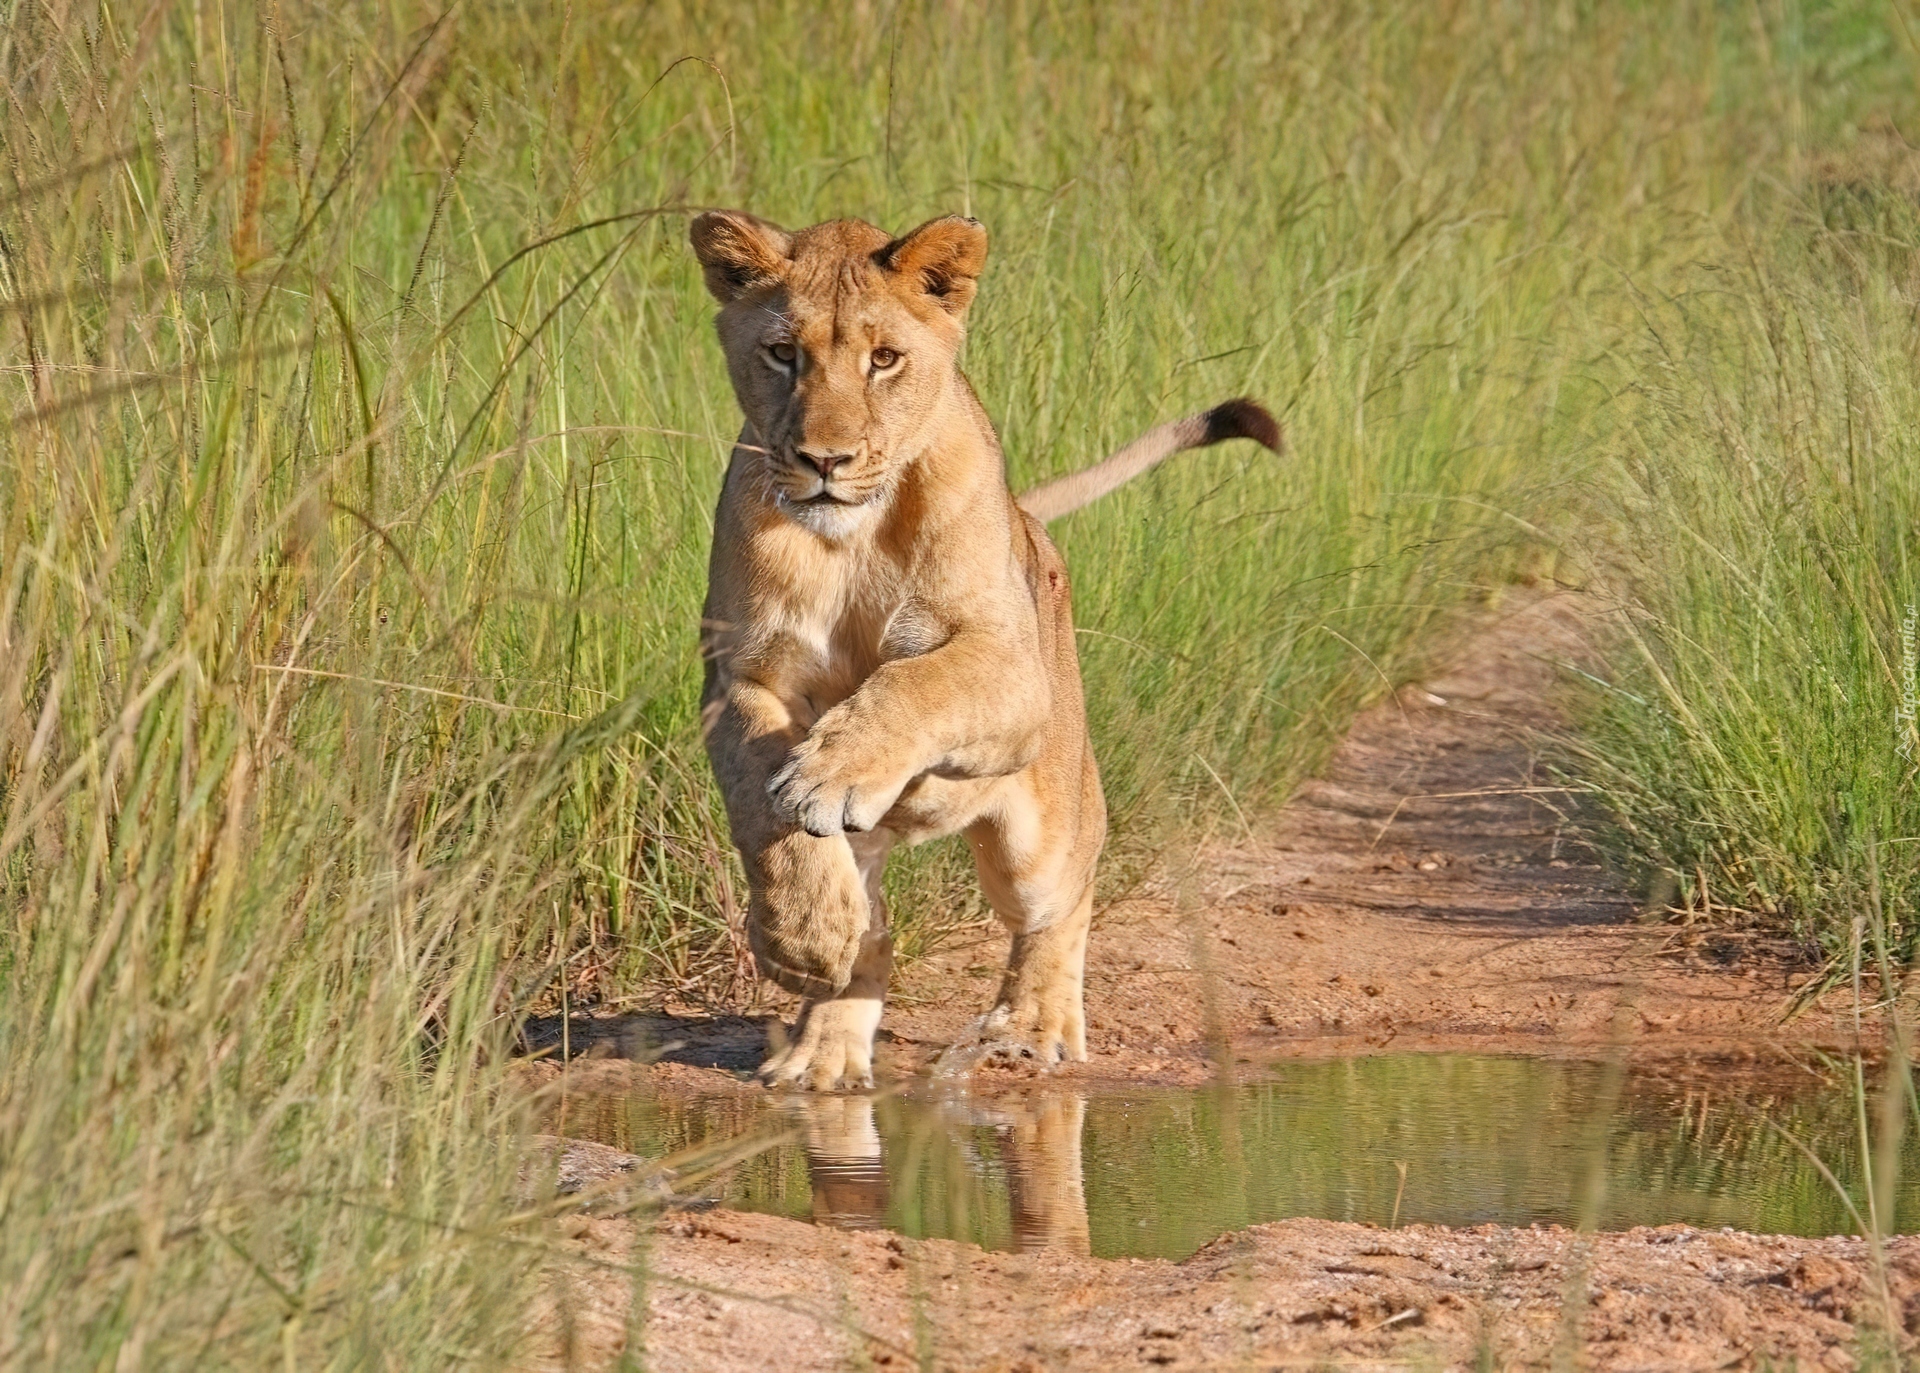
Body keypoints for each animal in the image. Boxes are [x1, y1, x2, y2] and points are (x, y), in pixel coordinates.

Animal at [687, 209, 1274, 1090]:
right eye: (783, 352)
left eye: (884, 359)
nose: (825, 460)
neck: (849, 538)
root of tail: (1029, 520)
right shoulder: (741, 677)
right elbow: (763, 801)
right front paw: (802, 936)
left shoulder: (1008, 665)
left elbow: (913, 683)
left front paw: (833, 772)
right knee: (876, 931)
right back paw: (824, 1046)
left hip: (1042, 832)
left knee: (1063, 897)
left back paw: (1033, 1025)